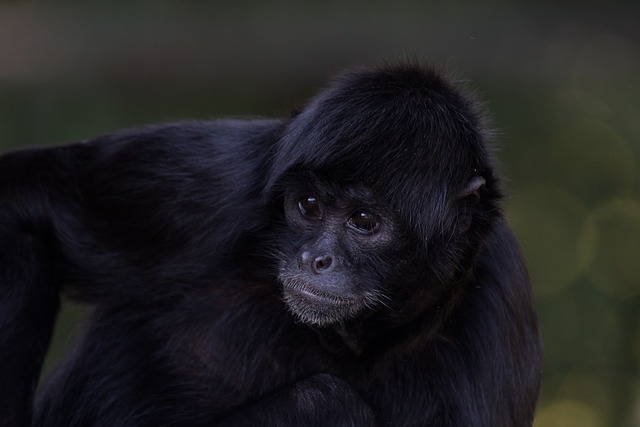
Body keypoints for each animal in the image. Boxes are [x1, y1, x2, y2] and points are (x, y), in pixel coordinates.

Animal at [0, 64, 540, 427]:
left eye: (364, 221)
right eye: (308, 205)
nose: (314, 258)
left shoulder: (493, 298)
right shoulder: (229, 178)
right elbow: (23, 197)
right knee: (323, 401)